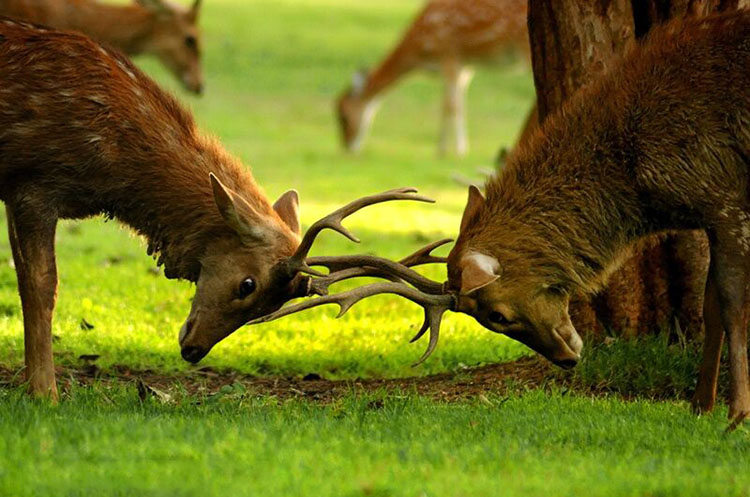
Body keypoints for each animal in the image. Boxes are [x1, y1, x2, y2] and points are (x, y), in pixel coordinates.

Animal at [0, 17, 438, 402]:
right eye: (248, 284)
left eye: (274, 305)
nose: (193, 350)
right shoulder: (33, 184)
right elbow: (40, 285)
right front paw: (45, 394)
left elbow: (22, 277)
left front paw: (28, 383)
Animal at [334, 0, 528, 157]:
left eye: (343, 116)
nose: (347, 147)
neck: (420, 51)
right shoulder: (465, 66)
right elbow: (448, 104)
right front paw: (441, 148)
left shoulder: (449, 54)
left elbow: (453, 106)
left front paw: (460, 150)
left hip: (523, 43)